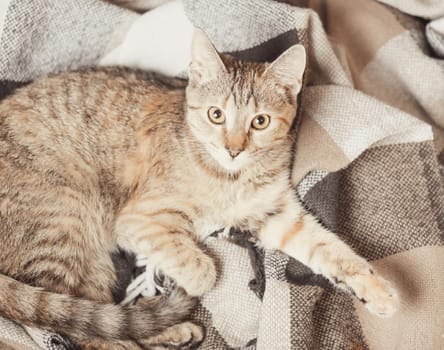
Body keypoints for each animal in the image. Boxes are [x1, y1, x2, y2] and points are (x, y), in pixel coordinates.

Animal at [0, 28, 398, 348]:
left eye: (260, 121)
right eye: (215, 115)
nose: (234, 149)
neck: (232, 179)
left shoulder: (279, 214)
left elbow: (331, 249)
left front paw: (377, 290)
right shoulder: (138, 219)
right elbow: (203, 269)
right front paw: (194, 274)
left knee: (100, 317)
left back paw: (171, 331)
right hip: (66, 224)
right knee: (86, 328)